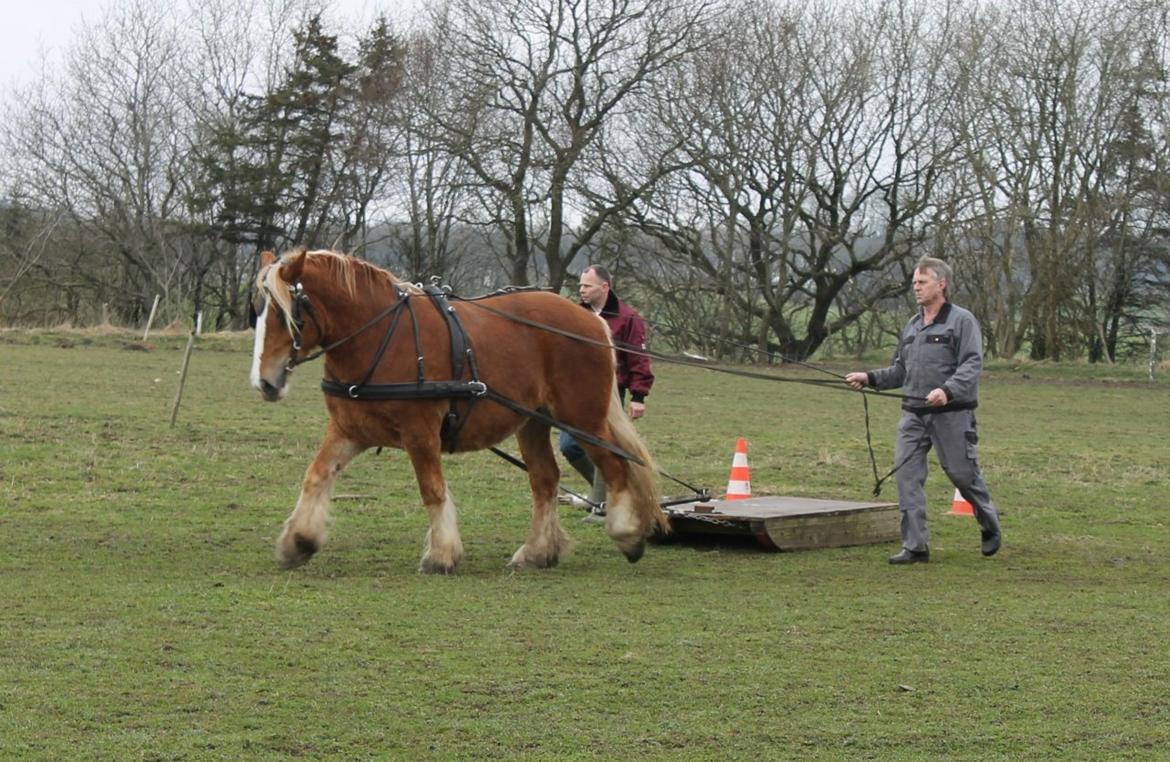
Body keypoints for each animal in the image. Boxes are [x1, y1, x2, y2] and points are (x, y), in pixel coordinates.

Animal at [249, 250, 669, 571]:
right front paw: (298, 542)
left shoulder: (420, 432)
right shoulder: (349, 429)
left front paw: (442, 554)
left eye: (288, 314)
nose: (264, 382)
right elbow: (316, 476)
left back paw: (626, 534)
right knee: (545, 479)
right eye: (258, 310)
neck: (379, 335)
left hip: (583, 418)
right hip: (533, 422)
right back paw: (536, 552)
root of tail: (590, 319)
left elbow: (432, 490)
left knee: (614, 465)